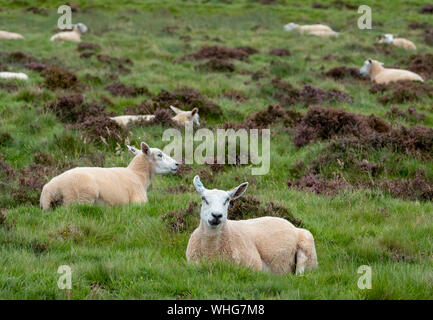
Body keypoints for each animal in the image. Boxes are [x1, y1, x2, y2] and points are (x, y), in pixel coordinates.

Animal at [38, 142, 177, 211]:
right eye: (159, 155)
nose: (177, 164)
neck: (137, 175)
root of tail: (52, 189)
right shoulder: (139, 201)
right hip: (81, 197)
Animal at [186, 175, 318, 276]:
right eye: (204, 199)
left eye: (227, 200)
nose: (217, 215)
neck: (211, 251)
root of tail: (290, 224)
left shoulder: (254, 265)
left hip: (307, 248)